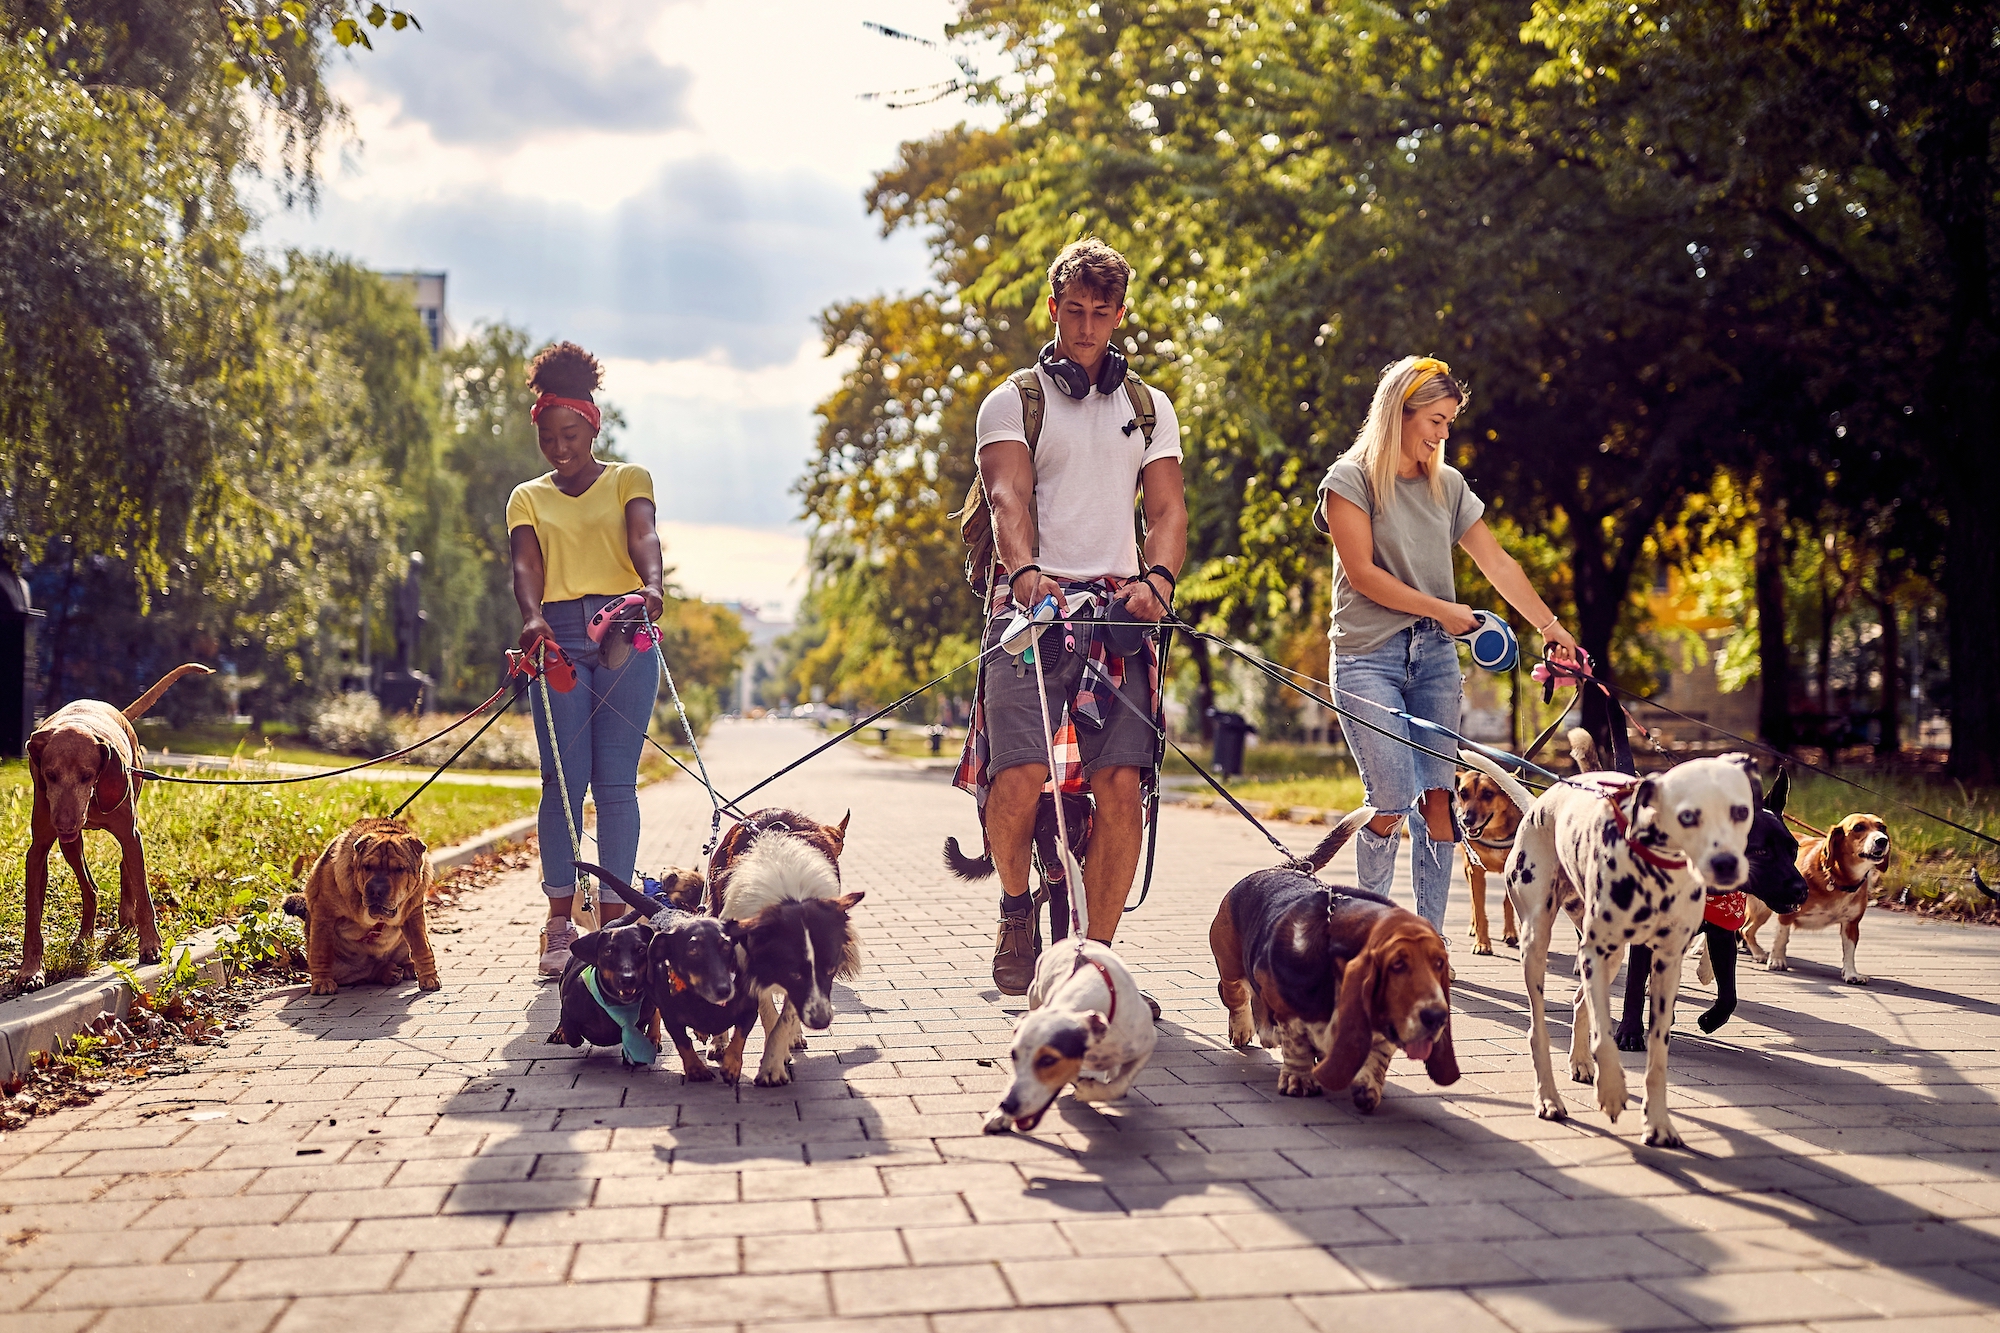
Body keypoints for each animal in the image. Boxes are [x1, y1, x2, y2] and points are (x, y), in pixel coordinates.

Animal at [20, 664, 213, 984]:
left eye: (87, 775)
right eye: (50, 775)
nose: (65, 824)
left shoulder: (130, 834)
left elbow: (145, 897)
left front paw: (151, 946)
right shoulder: (38, 851)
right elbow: (33, 916)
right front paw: (31, 969)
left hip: (126, 829)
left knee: (125, 868)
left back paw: (126, 920)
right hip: (72, 847)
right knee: (90, 888)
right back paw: (85, 939)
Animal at [984, 932, 1160, 1128]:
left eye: (1048, 1060)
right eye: (1014, 1055)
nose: (1007, 1105)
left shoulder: (1146, 1045)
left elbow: (1118, 1085)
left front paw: (1088, 1090)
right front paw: (999, 1116)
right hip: (1035, 994)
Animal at [1744, 804, 1880, 980]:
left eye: (1882, 827)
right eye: (1858, 827)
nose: (1882, 840)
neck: (1837, 879)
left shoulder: (1851, 924)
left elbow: (1849, 951)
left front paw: (1851, 973)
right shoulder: (1787, 913)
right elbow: (1781, 938)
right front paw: (1777, 960)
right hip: (1762, 908)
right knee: (1746, 930)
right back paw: (1758, 953)